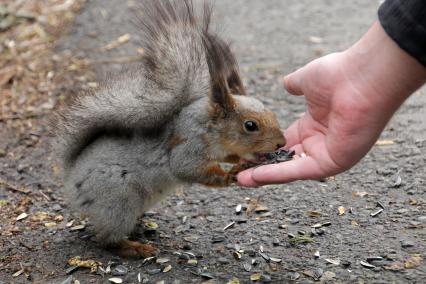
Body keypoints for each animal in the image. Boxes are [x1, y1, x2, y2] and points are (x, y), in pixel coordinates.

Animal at [54, 0, 286, 258]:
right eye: (250, 125)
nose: (282, 143)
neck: (207, 128)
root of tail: (71, 178)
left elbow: (229, 155)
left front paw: (248, 158)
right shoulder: (188, 147)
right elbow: (187, 168)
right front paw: (230, 175)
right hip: (118, 199)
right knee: (106, 240)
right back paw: (135, 248)